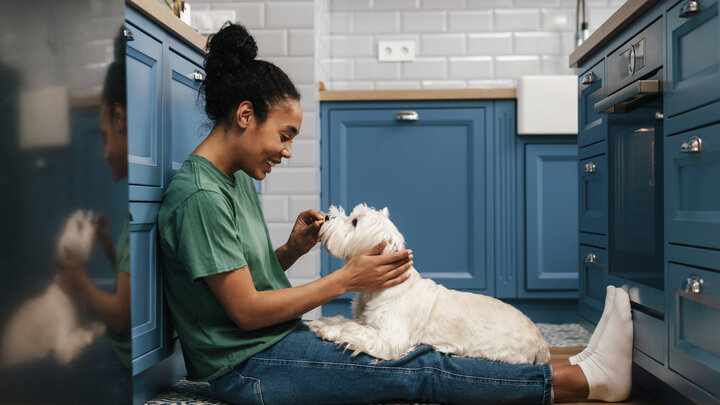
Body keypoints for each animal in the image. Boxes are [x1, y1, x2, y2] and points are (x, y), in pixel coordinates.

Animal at [1, 208, 105, 366]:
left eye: (84, 220)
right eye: (79, 226)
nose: (95, 221)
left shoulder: (80, 317)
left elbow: (86, 325)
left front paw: (96, 328)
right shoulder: (63, 330)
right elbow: (68, 346)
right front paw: (86, 336)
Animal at [310, 204, 552, 364]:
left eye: (354, 222)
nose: (327, 216)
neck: (380, 289)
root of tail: (540, 340)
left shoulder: (390, 339)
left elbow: (355, 330)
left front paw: (330, 331)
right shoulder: (365, 319)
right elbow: (347, 321)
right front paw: (323, 323)